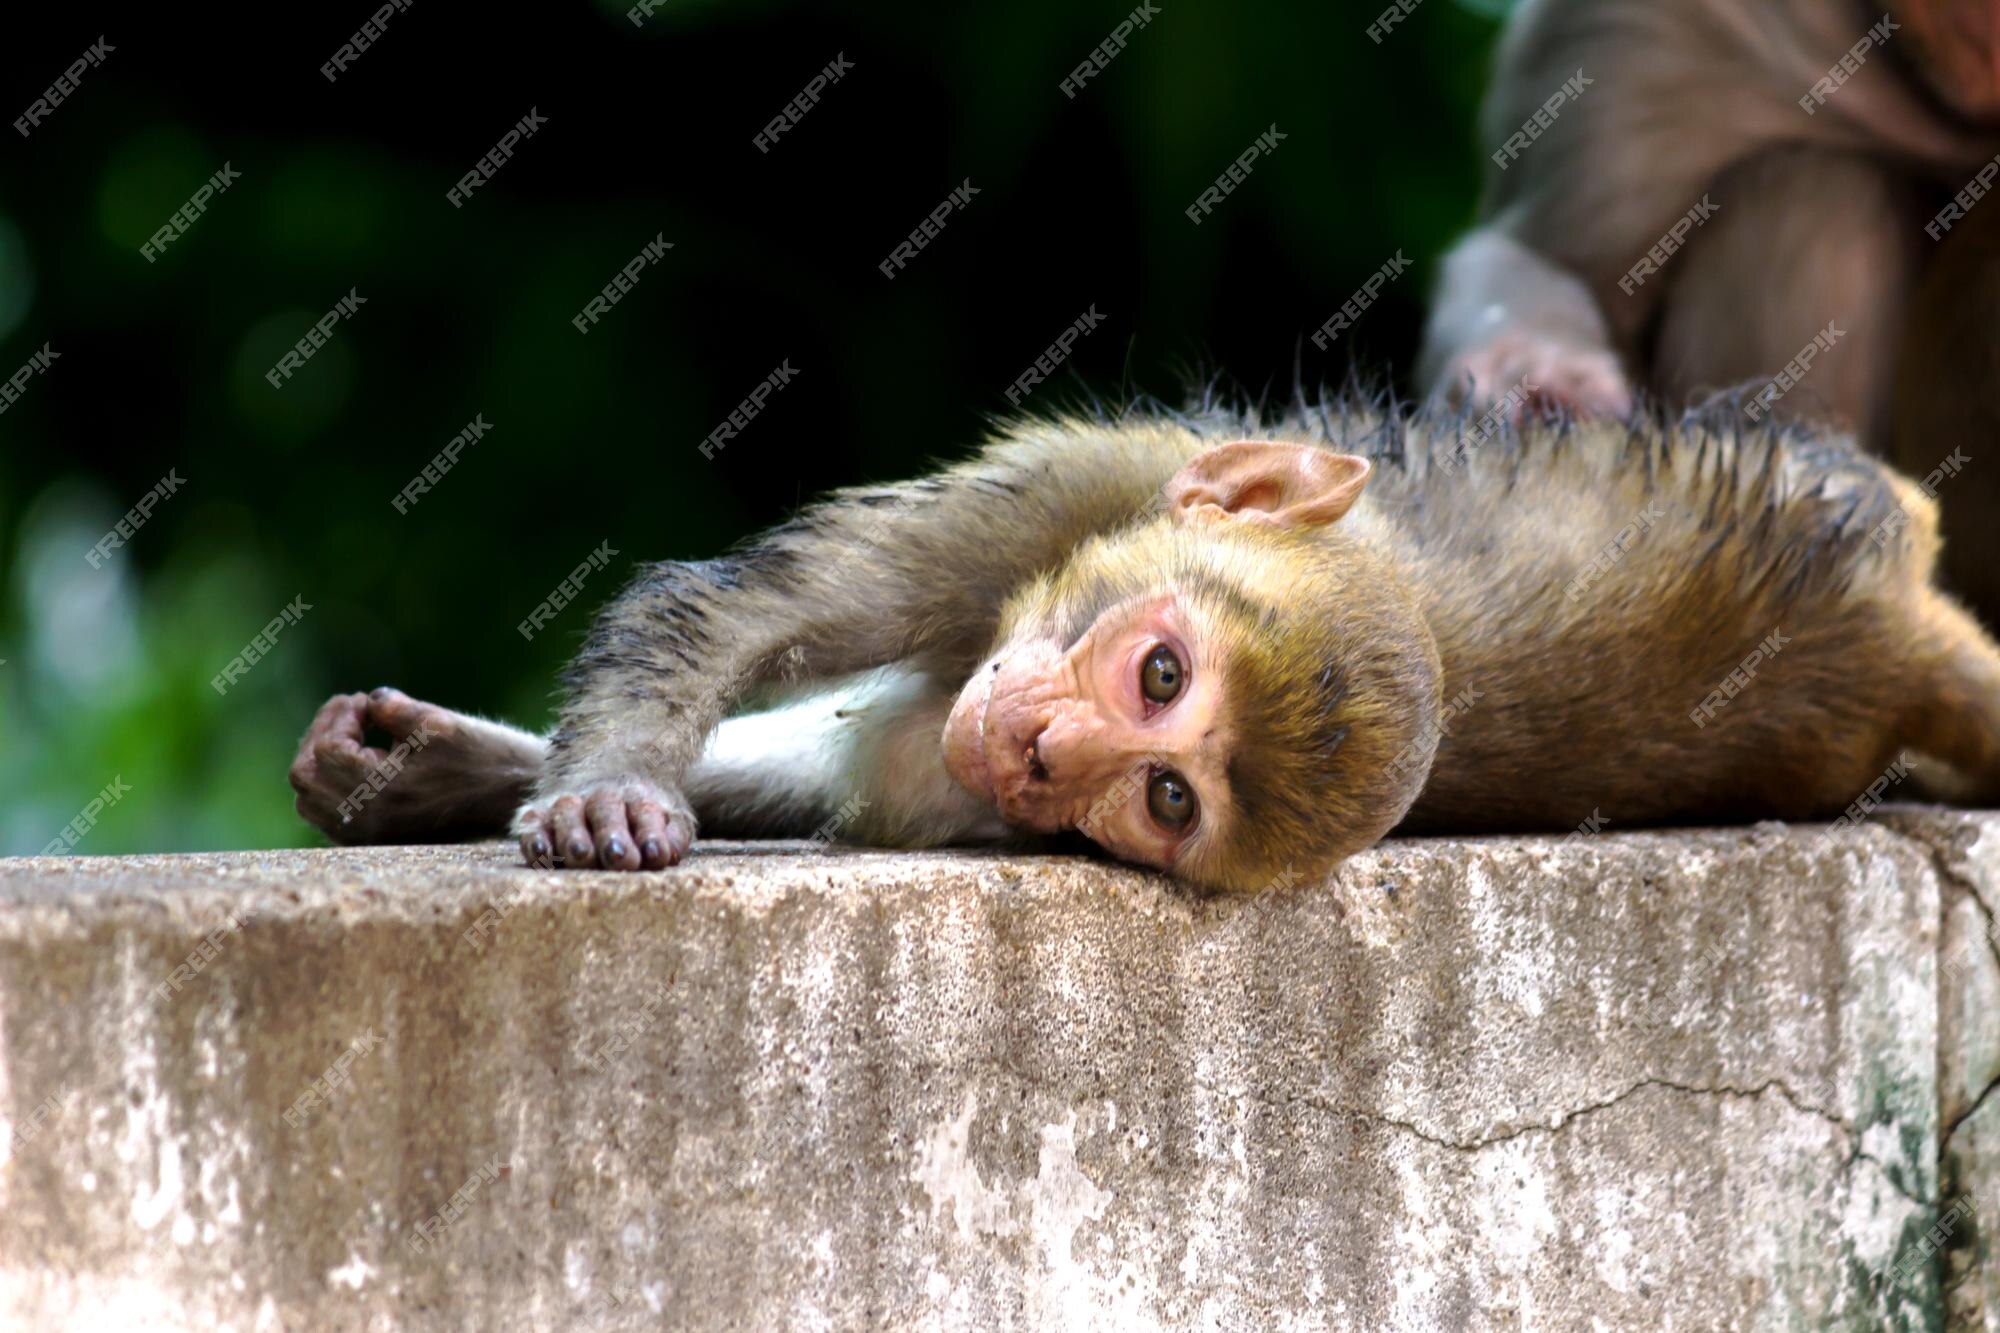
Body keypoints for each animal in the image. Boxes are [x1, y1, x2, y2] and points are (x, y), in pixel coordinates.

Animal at [286, 400, 2000, 888]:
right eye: (1158, 676)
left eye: (1165, 795)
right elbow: (733, 612)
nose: (1054, 750)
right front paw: (605, 787)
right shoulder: (1092, 479)